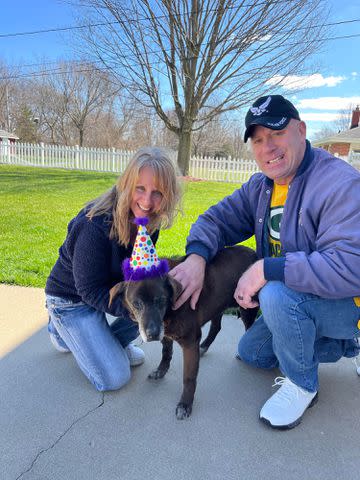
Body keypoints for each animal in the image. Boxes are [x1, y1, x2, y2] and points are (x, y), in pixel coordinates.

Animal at [109, 246, 258, 418]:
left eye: (161, 300)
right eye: (136, 304)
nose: (152, 334)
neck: (169, 312)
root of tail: (253, 252)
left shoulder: (190, 342)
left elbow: (189, 378)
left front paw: (185, 404)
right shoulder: (166, 335)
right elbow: (166, 354)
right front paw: (161, 371)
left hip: (247, 307)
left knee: (248, 329)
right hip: (217, 306)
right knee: (216, 327)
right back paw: (204, 346)